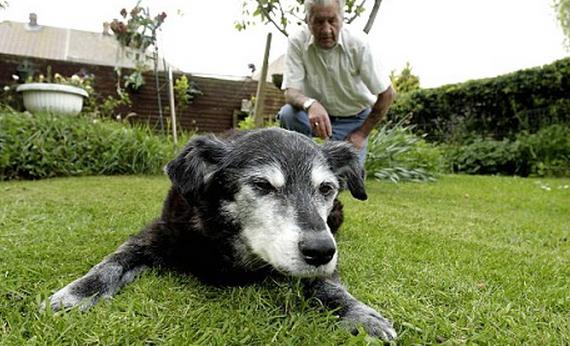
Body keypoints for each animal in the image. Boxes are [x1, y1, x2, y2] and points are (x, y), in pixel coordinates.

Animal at [45, 127, 394, 340]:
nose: (321, 251)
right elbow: (112, 262)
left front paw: (360, 314)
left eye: (325, 188)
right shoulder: (157, 235)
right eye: (262, 185)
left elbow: (328, 285)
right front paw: (79, 292)